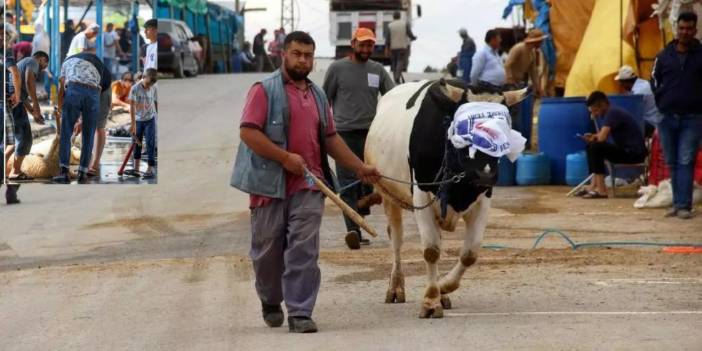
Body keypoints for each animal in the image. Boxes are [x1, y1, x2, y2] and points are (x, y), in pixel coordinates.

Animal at [366, 79, 524, 320]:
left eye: (505, 128)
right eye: (464, 128)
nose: (486, 174)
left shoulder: (483, 200)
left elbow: (470, 254)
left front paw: (442, 288)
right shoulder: (421, 195)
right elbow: (431, 251)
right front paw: (431, 301)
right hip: (388, 195)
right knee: (396, 241)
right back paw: (395, 287)